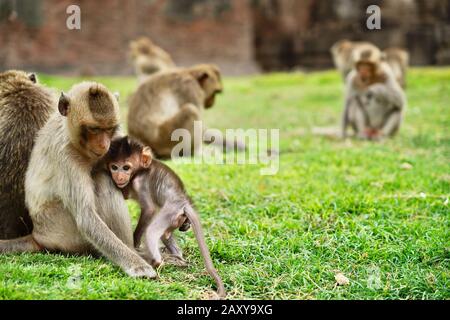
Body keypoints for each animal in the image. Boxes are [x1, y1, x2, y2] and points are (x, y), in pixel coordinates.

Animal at [103, 136, 227, 298]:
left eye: (125, 168)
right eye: (114, 167)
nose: (118, 176)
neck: (140, 171)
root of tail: (182, 203)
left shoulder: (139, 182)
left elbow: (149, 209)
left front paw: (135, 243)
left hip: (170, 211)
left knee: (151, 231)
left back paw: (155, 261)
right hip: (174, 217)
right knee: (164, 235)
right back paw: (176, 257)